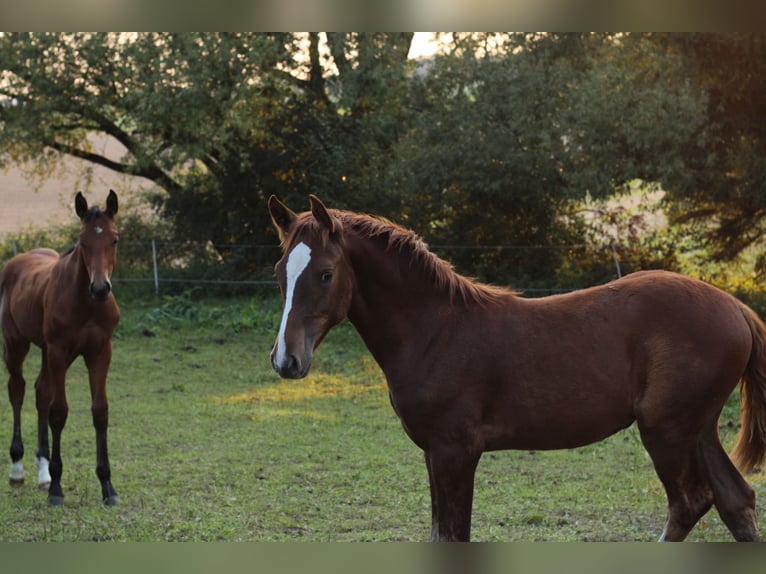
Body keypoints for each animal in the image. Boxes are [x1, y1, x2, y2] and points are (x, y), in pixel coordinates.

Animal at [1, 190, 120, 508]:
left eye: (114, 239)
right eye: (83, 241)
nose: (100, 288)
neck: (86, 303)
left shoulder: (100, 353)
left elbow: (99, 411)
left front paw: (107, 486)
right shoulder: (59, 351)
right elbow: (59, 412)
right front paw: (57, 488)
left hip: (46, 352)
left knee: (41, 391)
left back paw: (42, 473)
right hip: (16, 344)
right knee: (17, 390)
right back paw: (18, 469)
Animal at [268, 196, 766, 544]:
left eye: (326, 273)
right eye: (279, 272)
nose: (286, 360)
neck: (436, 330)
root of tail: (737, 309)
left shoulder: (454, 451)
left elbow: (453, 535)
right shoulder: (433, 452)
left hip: (667, 430)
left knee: (689, 504)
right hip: (699, 428)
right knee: (736, 501)